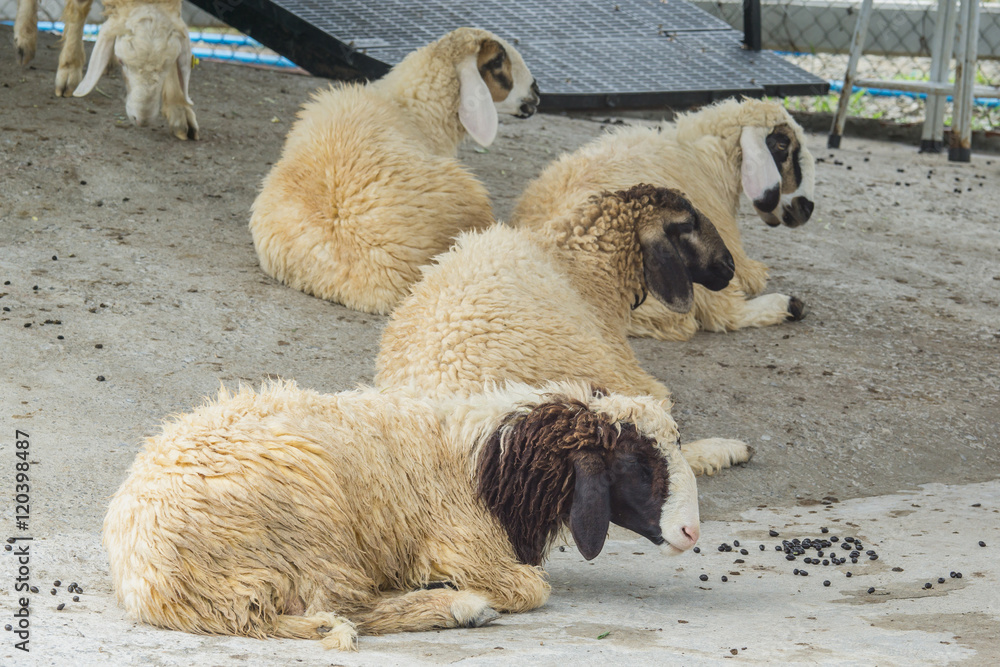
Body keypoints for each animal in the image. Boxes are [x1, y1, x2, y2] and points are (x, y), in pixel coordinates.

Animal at [99, 380, 696, 652]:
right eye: (638, 464)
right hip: (314, 524)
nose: (691, 532)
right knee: (346, 608)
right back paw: (460, 607)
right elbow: (532, 589)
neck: (486, 464)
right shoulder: (461, 541)